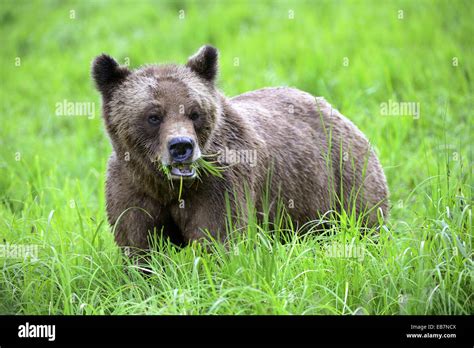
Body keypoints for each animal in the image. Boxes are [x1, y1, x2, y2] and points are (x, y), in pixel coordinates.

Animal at [91, 44, 388, 250]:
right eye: (153, 116)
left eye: (195, 112)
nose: (181, 146)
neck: (168, 186)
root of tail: (336, 110)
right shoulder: (132, 188)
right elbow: (140, 246)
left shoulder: (218, 184)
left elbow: (218, 238)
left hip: (344, 178)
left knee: (366, 222)